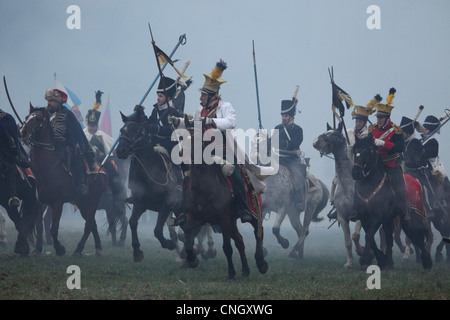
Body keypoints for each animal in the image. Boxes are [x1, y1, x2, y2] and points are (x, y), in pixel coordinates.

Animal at [19, 106, 107, 256]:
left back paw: (78, 249)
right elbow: (39, 226)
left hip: (93, 200)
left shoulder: (58, 203)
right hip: (81, 202)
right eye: (26, 117)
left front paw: (60, 249)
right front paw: (37, 249)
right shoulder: (39, 202)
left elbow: (53, 229)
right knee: (92, 223)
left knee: (89, 223)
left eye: (38, 119)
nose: (22, 132)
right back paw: (98, 249)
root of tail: (101, 169)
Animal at [116, 110, 183, 262]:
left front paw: (169, 244)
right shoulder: (140, 204)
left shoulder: (166, 205)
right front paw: (137, 251)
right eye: (122, 130)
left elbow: (157, 230)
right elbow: (132, 222)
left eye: (135, 130)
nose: (120, 151)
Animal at [352, 135, 432, 270]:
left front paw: (365, 259)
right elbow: (372, 239)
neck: (369, 185)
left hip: (412, 217)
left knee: (419, 236)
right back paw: (389, 263)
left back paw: (426, 262)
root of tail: (416, 181)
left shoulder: (378, 216)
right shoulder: (364, 217)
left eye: (367, 151)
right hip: (391, 220)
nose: (355, 173)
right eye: (354, 151)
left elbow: (369, 236)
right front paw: (380, 260)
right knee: (394, 238)